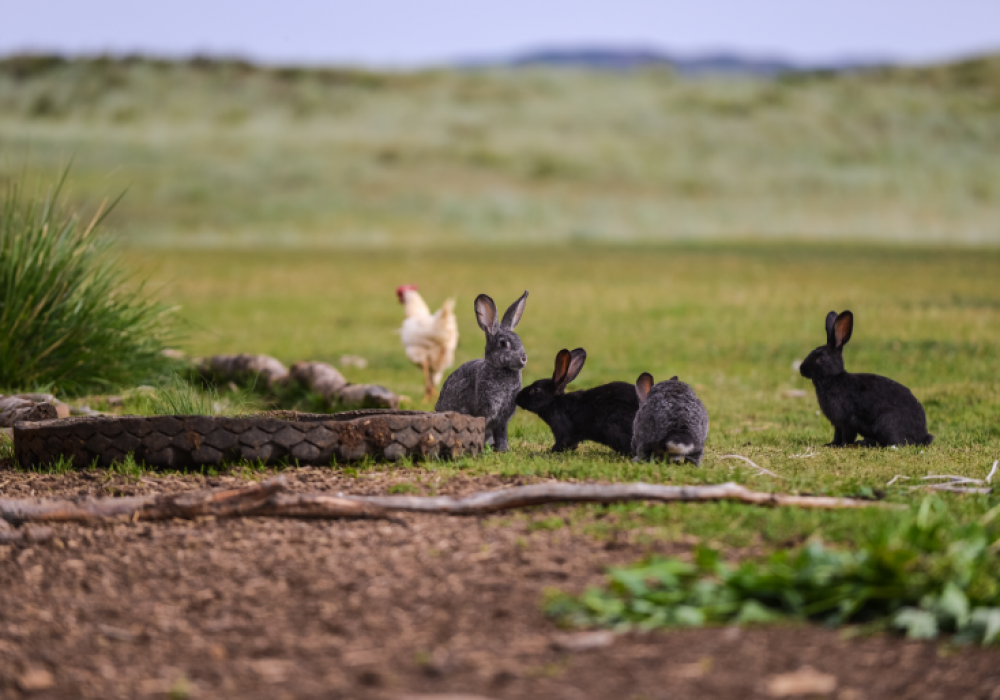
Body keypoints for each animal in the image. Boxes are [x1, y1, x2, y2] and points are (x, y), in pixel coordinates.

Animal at [438, 292, 532, 452]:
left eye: (519, 340)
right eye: (503, 344)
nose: (523, 358)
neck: (500, 368)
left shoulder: (503, 418)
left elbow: (501, 433)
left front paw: (503, 449)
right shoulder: (486, 409)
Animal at [800, 312, 932, 448]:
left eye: (821, 358)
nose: (801, 369)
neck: (834, 378)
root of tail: (922, 436)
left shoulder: (848, 420)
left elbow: (847, 435)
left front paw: (842, 445)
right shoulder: (838, 424)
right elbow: (837, 435)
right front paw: (831, 444)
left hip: (885, 422)